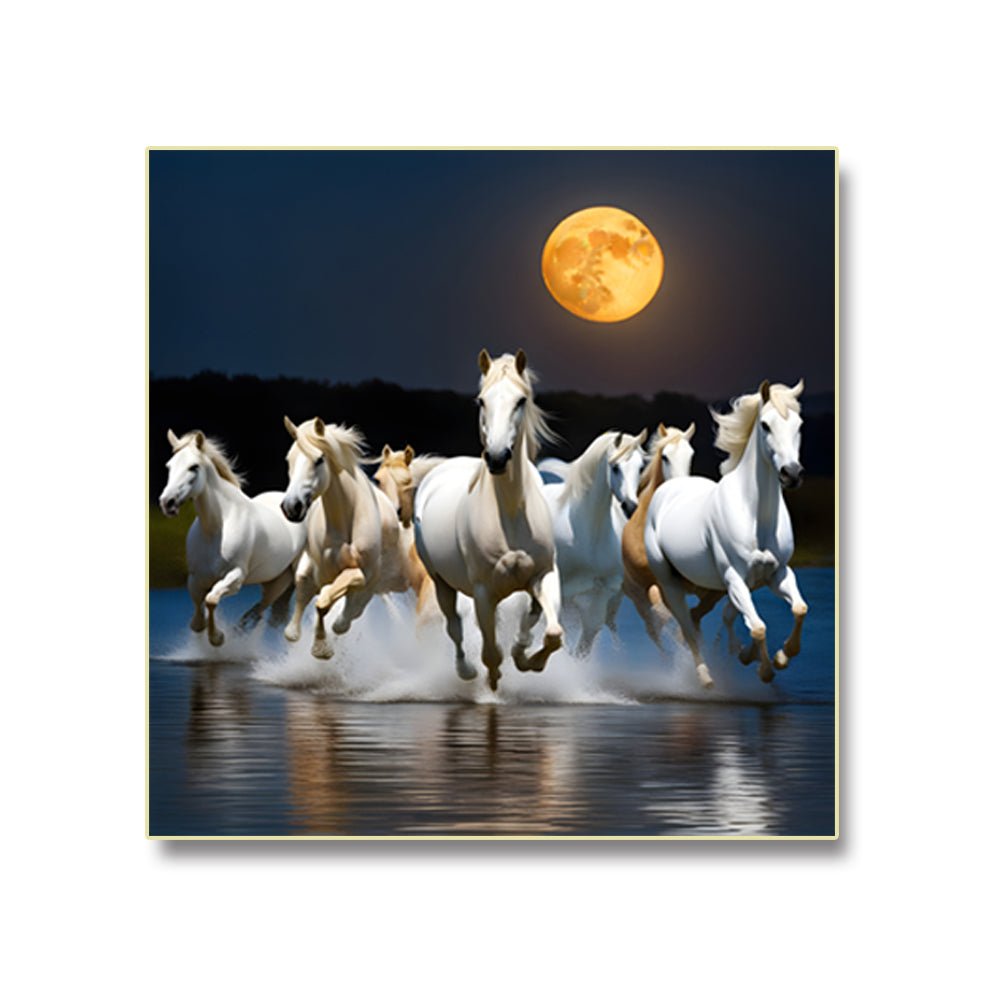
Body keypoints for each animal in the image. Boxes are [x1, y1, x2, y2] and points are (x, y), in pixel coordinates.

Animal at [158, 429, 307, 647]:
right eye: (169, 466)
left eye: (194, 467)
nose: (167, 502)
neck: (216, 529)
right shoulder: (196, 577)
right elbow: (198, 606)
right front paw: (199, 625)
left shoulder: (236, 577)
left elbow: (211, 599)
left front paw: (217, 638)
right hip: (272, 580)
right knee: (260, 609)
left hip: (287, 578)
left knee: (269, 605)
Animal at [279, 417, 408, 659]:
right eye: (289, 459)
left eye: (319, 459)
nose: (291, 506)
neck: (345, 521)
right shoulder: (318, 571)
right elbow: (312, 603)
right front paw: (316, 644)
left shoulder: (362, 575)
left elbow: (328, 603)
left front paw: (321, 648)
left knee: (347, 615)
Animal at [413, 349, 564, 691]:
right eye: (482, 401)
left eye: (521, 400)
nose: (496, 457)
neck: (510, 514)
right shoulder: (483, 593)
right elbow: (492, 653)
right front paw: (493, 679)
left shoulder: (544, 575)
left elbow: (551, 633)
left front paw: (527, 659)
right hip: (442, 583)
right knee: (454, 627)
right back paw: (465, 671)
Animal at [644, 380, 808, 688]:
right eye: (765, 425)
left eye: (799, 424)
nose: (791, 474)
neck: (756, 516)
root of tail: (668, 488)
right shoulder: (734, 577)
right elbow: (758, 627)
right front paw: (765, 670)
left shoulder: (777, 573)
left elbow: (799, 609)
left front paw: (781, 656)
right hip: (670, 583)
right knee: (687, 626)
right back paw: (705, 677)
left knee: (713, 617)